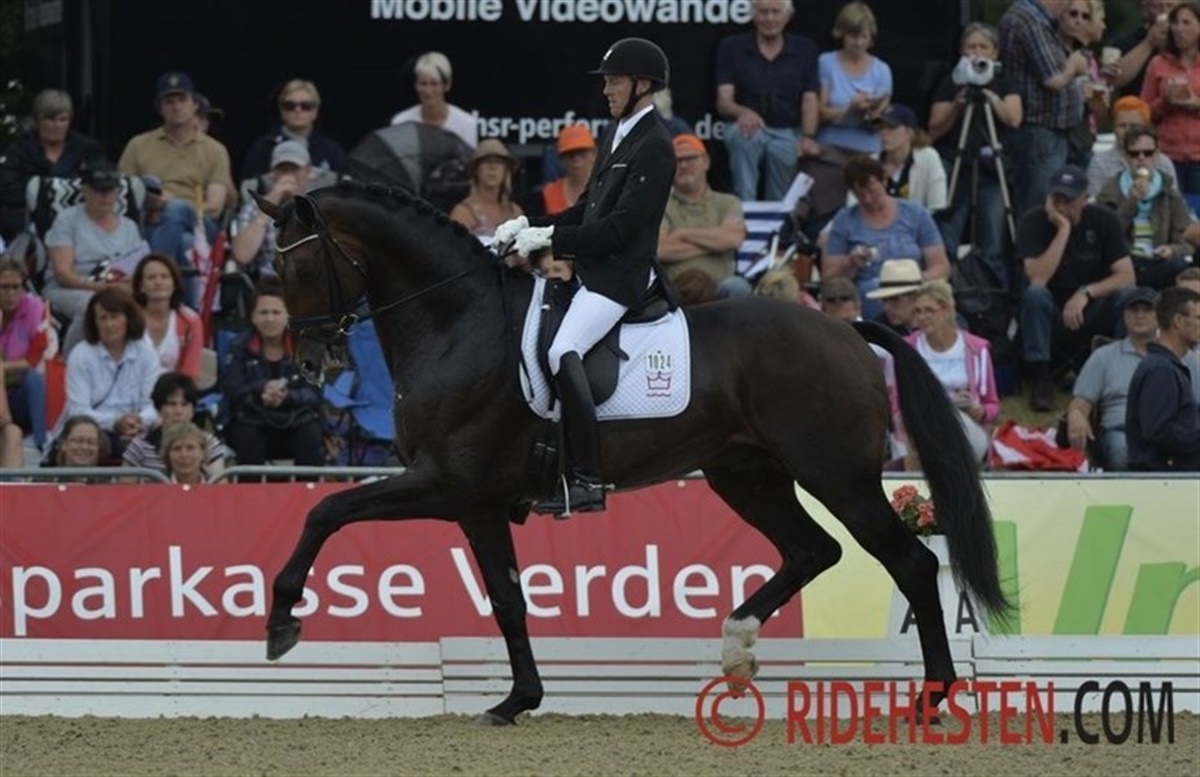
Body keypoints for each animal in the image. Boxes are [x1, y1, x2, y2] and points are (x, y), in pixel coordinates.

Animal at [259, 180, 1012, 725]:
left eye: (303, 264)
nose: (308, 363)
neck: (457, 324)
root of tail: (846, 328)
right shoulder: (469, 497)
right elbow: (502, 594)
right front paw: (519, 698)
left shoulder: (454, 487)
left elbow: (332, 513)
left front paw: (283, 622)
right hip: (746, 473)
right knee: (811, 549)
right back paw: (737, 646)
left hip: (835, 474)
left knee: (910, 562)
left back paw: (932, 698)